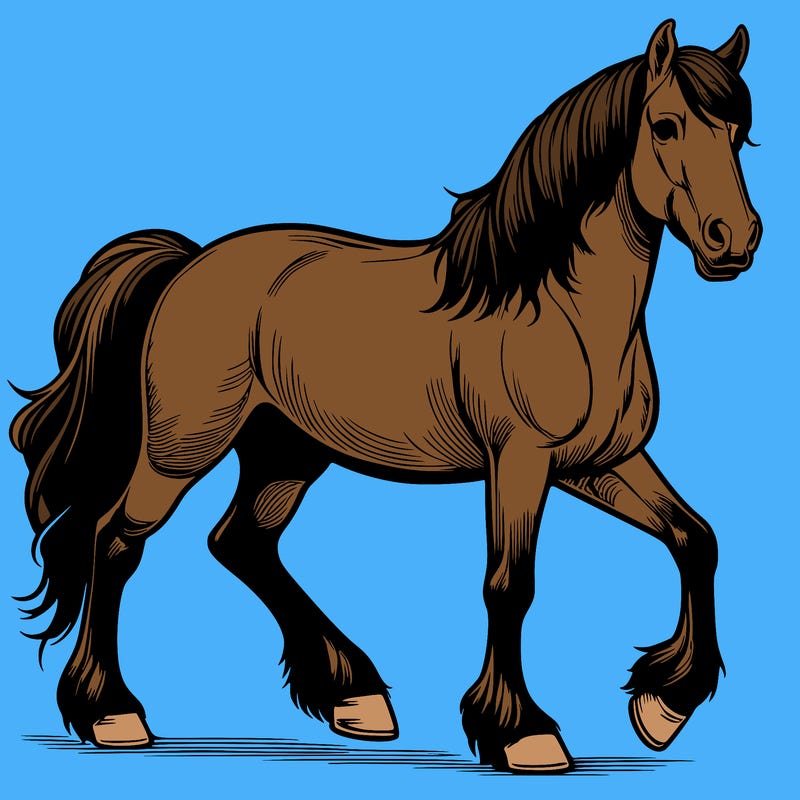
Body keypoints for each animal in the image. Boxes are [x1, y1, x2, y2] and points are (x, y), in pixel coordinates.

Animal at [10, 19, 760, 773]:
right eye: (665, 125)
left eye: (739, 132)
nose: (735, 240)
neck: (556, 307)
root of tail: (188, 264)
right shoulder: (520, 462)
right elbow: (509, 585)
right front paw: (523, 732)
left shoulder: (598, 463)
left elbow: (696, 539)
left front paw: (663, 706)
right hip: (182, 448)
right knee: (115, 541)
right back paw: (112, 714)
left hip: (286, 452)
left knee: (242, 542)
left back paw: (354, 695)